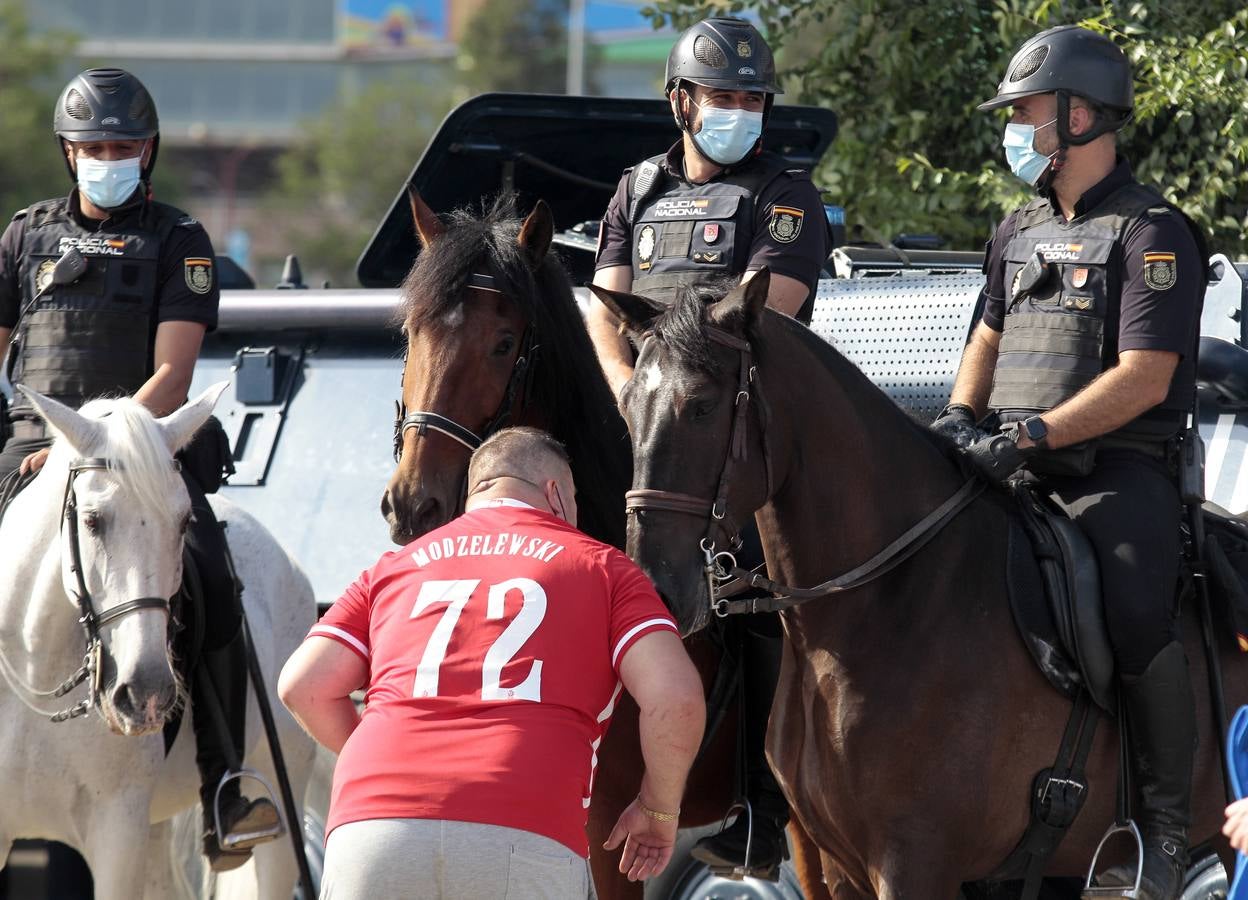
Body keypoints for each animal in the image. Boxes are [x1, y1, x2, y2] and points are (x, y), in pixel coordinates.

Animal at [591, 270, 1238, 893]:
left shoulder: (915, 865)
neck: (884, 607)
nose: (653, 586)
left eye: (701, 406)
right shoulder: (840, 868)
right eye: (625, 403)